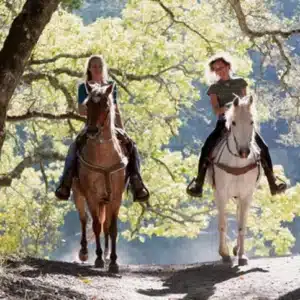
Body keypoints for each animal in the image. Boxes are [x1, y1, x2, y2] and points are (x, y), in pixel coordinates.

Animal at [72, 83, 127, 274]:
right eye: (88, 104)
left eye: (106, 105)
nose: (92, 131)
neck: (104, 158)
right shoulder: (91, 195)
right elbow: (95, 225)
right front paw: (98, 258)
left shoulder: (116, 197)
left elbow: (112, 228)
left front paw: (114, 262)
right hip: (78, 195)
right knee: (83, 220)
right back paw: (84, 252)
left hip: (106, 201)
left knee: (106, 225)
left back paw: (107, 254)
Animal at [207, 95, 262, 264]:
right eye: (234, 122)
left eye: (251, 122)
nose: (244, 152)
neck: (237, 163)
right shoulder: (220, 194)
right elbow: (222, 223)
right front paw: (224, 253)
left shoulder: (246, 195)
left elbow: (242, 225)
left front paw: (242, 256)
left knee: (239, 217)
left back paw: (237, 249)